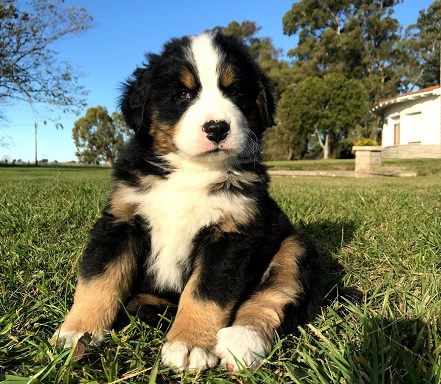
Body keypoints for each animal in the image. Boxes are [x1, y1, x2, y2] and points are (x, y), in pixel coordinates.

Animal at [51, 30, 322, 372]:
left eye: (235, 92)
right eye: (183, 94)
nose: (217, 128)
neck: (191, 171)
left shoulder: (233, 233)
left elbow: (206, 292)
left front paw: (189, 343)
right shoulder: (120, 220)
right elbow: (98, 279)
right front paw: (76, 333)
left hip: (293, 243)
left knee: (277, 291)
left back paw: (242, 339)